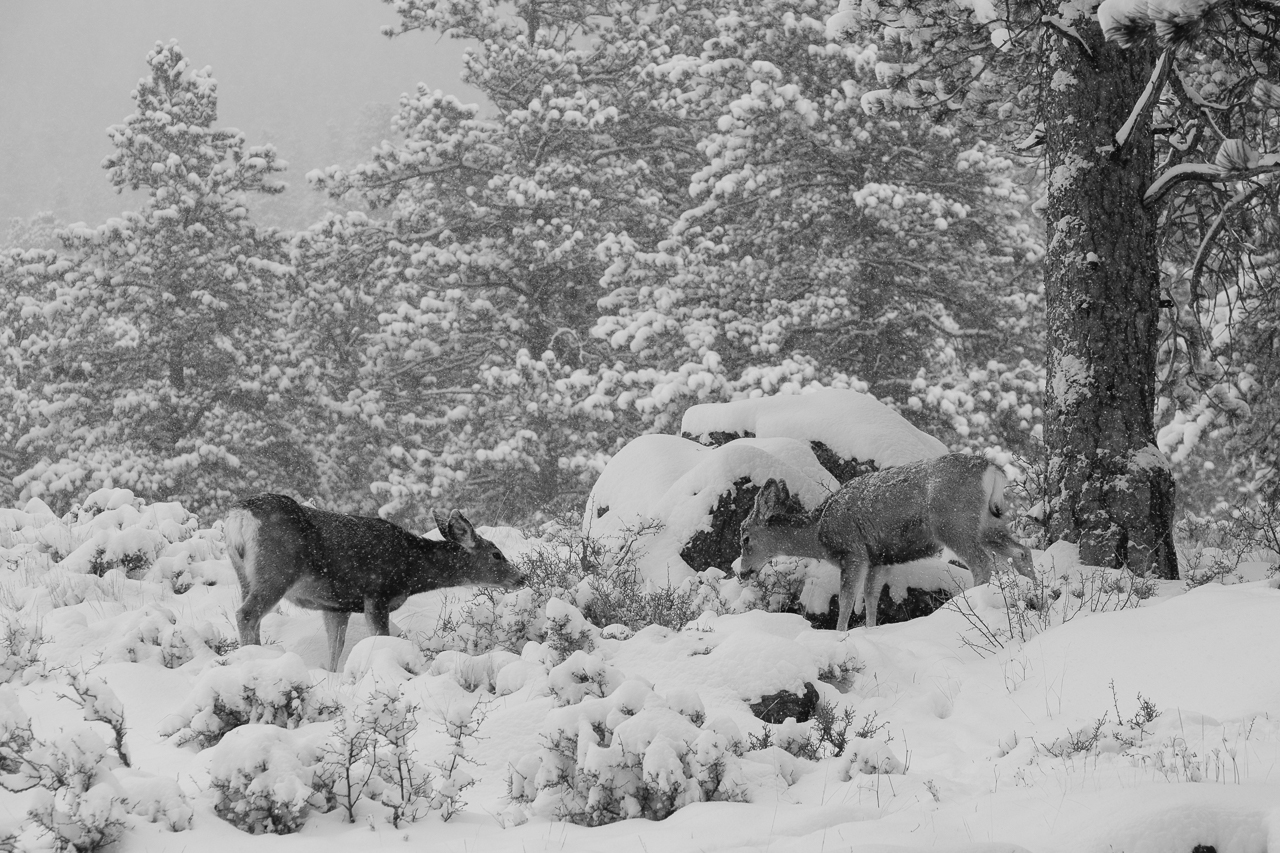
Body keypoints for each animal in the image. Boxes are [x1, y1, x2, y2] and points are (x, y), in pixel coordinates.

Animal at [222, 494, 522, 666]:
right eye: (496, 554)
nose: (521, 577)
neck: (410, 569)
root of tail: (238, 515)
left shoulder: (336, 606)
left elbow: (336, 650)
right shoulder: (377, 593)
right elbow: (380, 638)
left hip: (244, 574)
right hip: (277, 570)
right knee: (246, 614)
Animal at [737, 450, 1034, 625]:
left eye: (745, 538)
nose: (742, 572)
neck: (820, 532)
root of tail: (992, 469)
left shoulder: (853, 551)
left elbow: (846, 601)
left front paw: (840, 634)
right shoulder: (879, 558)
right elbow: (871, 598)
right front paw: (869, 630)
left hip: (953, 523)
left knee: (982, 564)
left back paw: (969, 604)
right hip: (989, 524)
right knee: (1022, 551)